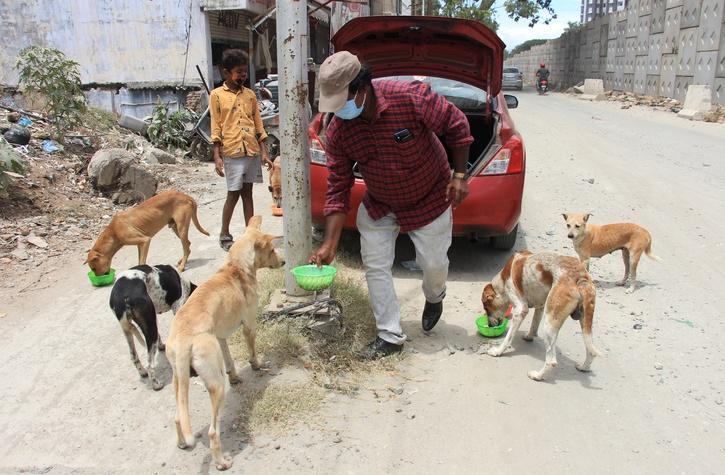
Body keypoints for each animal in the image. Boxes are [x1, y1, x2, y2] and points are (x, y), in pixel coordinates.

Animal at [166, 217, 282, 472]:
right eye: (271, 250)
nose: (284, 262)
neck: (235, 267)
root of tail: (184, 338)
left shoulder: (221, 336)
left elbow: (229, 361)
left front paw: (236, 376)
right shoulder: (249, 324)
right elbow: (252, 352)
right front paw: (257, 365)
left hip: (178, 380)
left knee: (178, 417)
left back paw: (181, 443)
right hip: (216, 386)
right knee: (212, 433)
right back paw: (221, 462)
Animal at [480, 253, 600, 384]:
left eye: (486, 308)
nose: (489, 326)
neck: (502, 280)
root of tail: (580, 276)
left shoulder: (520, 310)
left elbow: (508, 339)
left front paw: (498, 351)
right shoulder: (540, 306)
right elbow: (534, 324)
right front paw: (529, 336)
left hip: (549, 324)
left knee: (551, 361)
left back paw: (537, 376)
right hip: (584, 322)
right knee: (590, 351)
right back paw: (584, 367)